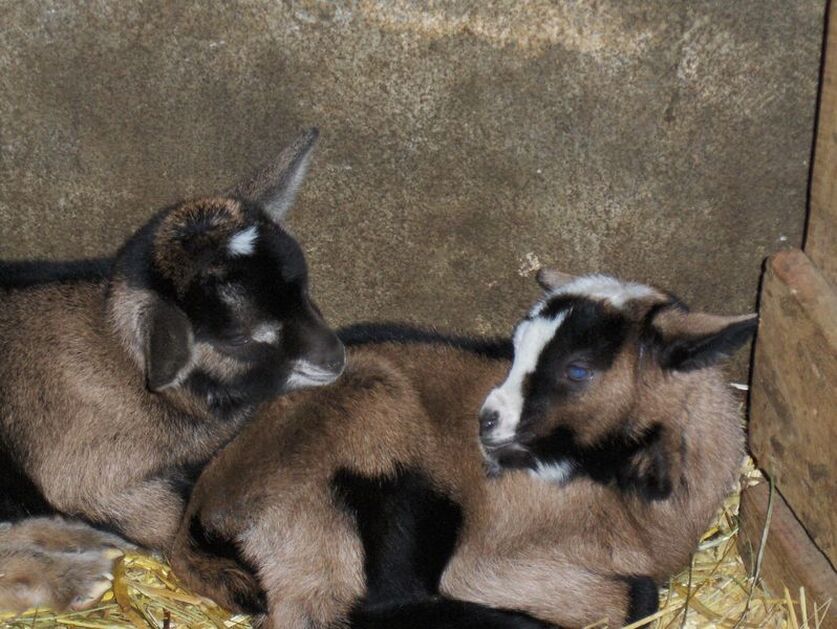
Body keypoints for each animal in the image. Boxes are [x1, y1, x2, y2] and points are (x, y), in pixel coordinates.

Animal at [173, 270, 756, 628]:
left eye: (578, 369)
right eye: (515, 350)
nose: (486, 419)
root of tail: (200, 521)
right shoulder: (493, 560)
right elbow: (636, 597)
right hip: (359, 469)